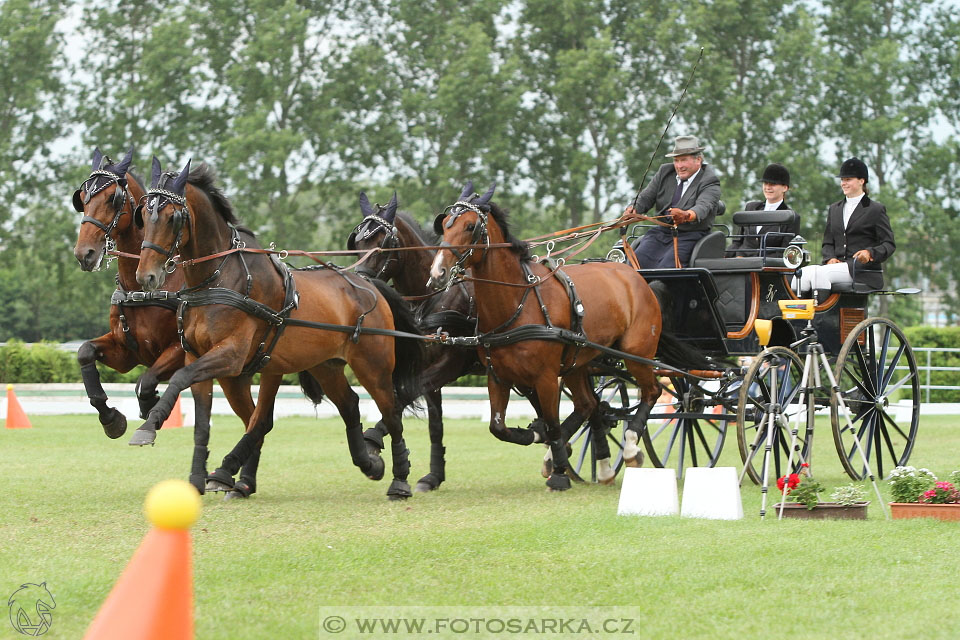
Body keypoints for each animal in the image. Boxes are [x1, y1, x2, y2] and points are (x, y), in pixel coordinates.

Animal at [72, 148, 258, 498]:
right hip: (233, 377)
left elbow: (145, 382)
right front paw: (111, 419)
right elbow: (85, 352)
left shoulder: (176, 349)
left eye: (113, 198)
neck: (142, 286)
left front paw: (149, 409)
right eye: (82, 199)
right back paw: (240, 479)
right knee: (253, 416)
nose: (84, 253)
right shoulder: (125, 351)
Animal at [133, 159, 422, 500]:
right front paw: (195, 478)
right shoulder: (198, 357)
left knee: (391, 413)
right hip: (323, 366)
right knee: (347, 406)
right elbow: (201, 424)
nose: (146, 276)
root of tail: (368, 283)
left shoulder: (230, 355)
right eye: (142, 214)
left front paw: (149, 426)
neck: (218, 278)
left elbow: (178, 378)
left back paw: (399, 480)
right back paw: (367, 463)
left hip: (372, 365)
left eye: (172, 217)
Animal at [348, 192, 620, 488]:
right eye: (357, 243)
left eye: (381, 244)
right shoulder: (431, 368)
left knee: (586, 405)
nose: (359, 280)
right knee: (586, 405)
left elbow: (403, 397)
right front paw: (433, 476)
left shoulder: (451, 365)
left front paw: (372, 442)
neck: (438, 298)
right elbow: (434, 424)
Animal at [428, 182, 676, 492]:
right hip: (579, 361)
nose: (437, 273)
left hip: (636, 352)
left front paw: (558, 471)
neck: (517, 302)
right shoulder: (498, 377)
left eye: (470, 226)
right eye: (444, 225)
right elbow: (499, 427)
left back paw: (630, 447)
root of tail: (634, 275)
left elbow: (552, 423)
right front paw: (540, 440)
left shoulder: (545, 377)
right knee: (589, 405)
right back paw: (599, 465)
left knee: (651, 391)